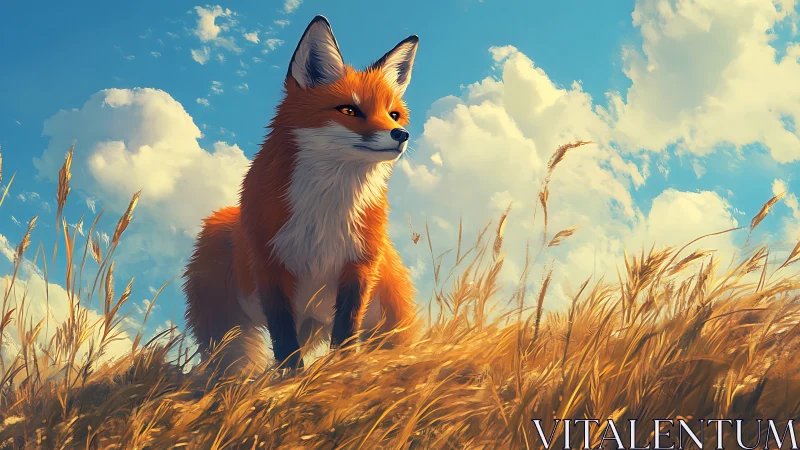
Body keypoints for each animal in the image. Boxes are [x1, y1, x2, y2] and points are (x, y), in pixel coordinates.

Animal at [183, 15, 419, 373]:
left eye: (393, 114)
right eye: (349, 111)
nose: (401, 134)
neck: (326, 211)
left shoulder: (359, 267)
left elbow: (345, 335)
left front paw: (339, 372)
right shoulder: (270, 267)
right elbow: (284, 341)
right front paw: (291, 377)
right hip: (227, 328)